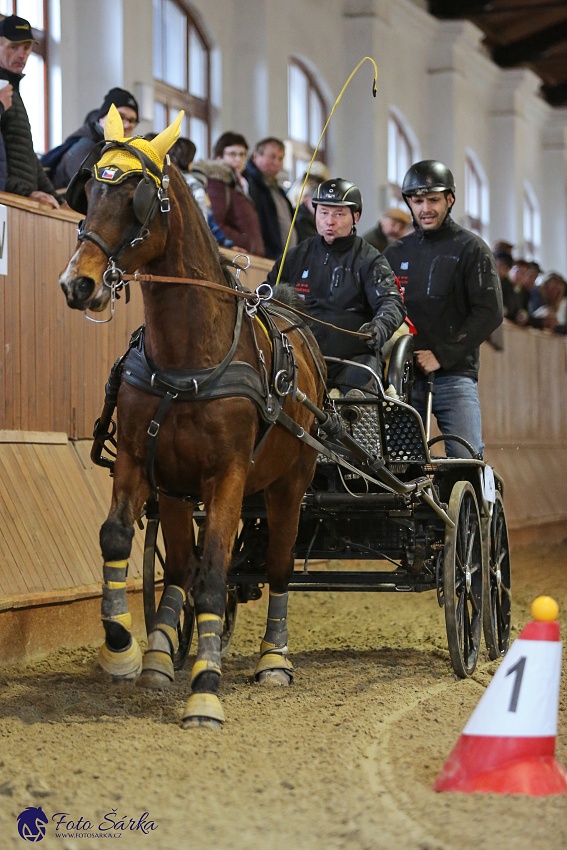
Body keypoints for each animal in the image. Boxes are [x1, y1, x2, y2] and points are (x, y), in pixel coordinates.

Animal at [60, 109, 326, 724]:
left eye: (136, 198)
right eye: (90, 191)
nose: (77, 283)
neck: (187, 362)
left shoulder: (227, 476)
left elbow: (214, 577)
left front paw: (205, 690)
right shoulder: (142, 461)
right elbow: (117, 540)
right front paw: (123, 651)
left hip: (289, 483)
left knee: (277, 566)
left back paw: (273, 659)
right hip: (178, 492)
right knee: (179, 567)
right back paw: (161, 657)